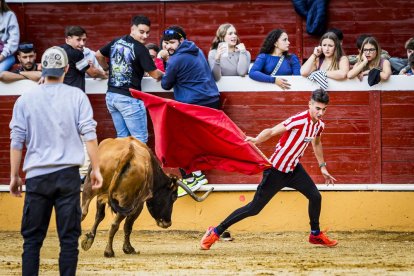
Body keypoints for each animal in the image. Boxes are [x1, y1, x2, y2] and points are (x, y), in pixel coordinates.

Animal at [80, 137, 212, 258]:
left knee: (83, 212)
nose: (167, 223)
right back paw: (109, 252)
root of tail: (128, 153)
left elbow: (99, 216)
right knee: (114, 224)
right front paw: (128, 249)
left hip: (89, 187)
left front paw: (88, 239)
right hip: (127, 202)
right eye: (174, 197)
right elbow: (128, 225)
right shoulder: (139, 204)